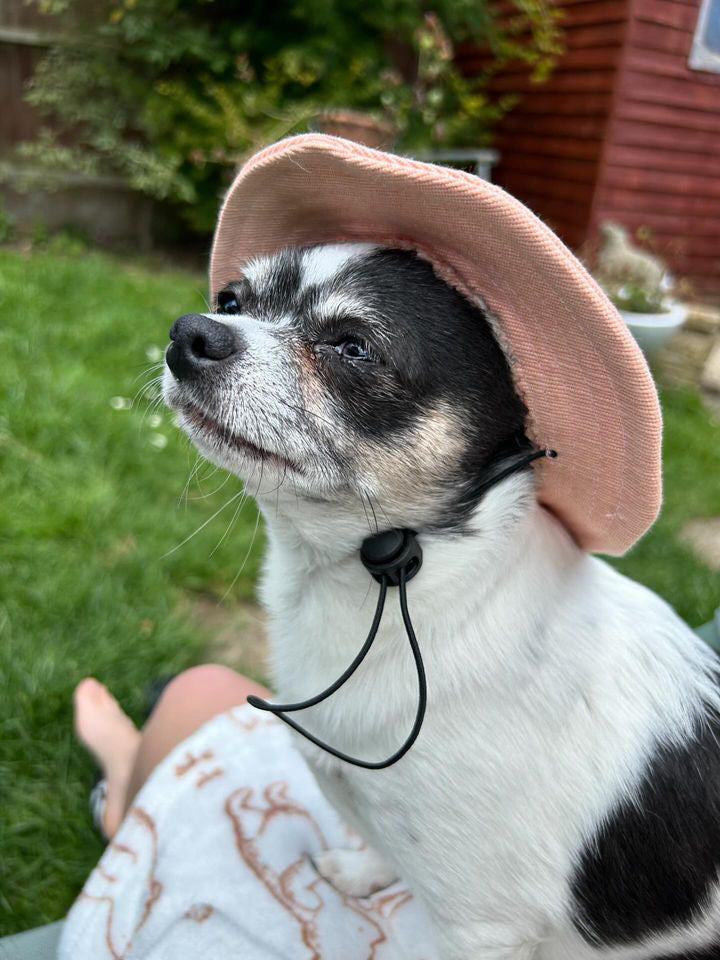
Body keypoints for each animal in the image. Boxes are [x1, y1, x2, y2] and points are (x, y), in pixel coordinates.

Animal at [166, 244, 720, 960]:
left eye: (354, 347)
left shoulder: (479, 927)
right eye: (231, 302)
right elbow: (381, 846)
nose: (191, 333)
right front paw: (364, 872)